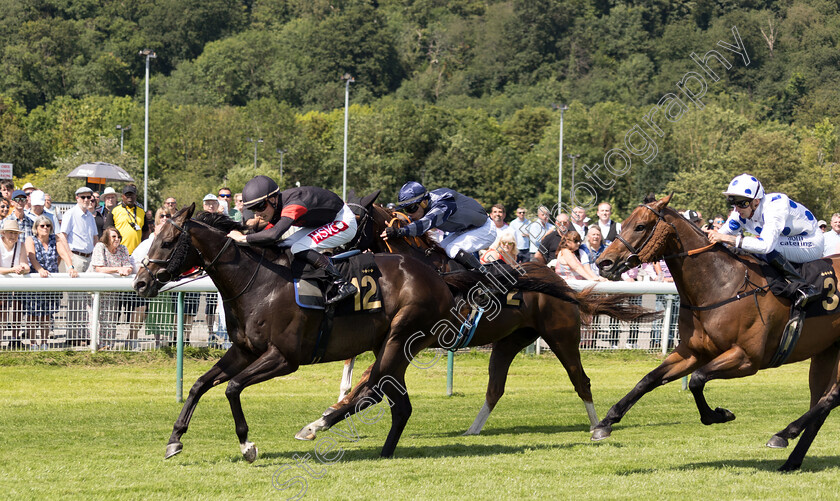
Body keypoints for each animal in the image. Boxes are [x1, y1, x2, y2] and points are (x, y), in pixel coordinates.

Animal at [135, 204, 460, 460]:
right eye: (153, 238)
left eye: (167, 242)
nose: (140, 283)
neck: (258, 283)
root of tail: (439, 279)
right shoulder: (243, 351)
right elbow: (199, 385)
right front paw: (174, 440)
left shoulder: (284, 358)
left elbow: (232, 388)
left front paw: (247, 446)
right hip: (389, 348)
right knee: (395, 402)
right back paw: (373, 447)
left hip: (399, 340)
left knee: (379, 392)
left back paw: (326, 429)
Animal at [298, 197, 660, 440]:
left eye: (353, 221)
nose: (324, 257)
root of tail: (560, 280)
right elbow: (364, 375)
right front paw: (329, 411)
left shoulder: (411, 339)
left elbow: (370, 378)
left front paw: (321, 420)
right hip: (509, 342)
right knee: (495, 388)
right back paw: (472, 430)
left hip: (562, 336)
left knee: (580, 380)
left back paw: (597, 425)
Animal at [592, 194, 840, 468]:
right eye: (623, 223)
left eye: (640, 226)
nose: (603, 262)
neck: (721, 284)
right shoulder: (692, 352)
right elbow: (648, 380)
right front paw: (605, 423)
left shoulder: (747, 358)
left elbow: (697, 379)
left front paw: (719, 414)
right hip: (826, 352)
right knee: (821, 401)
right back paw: (791, 461)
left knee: (831, 397)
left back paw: (783, 434)